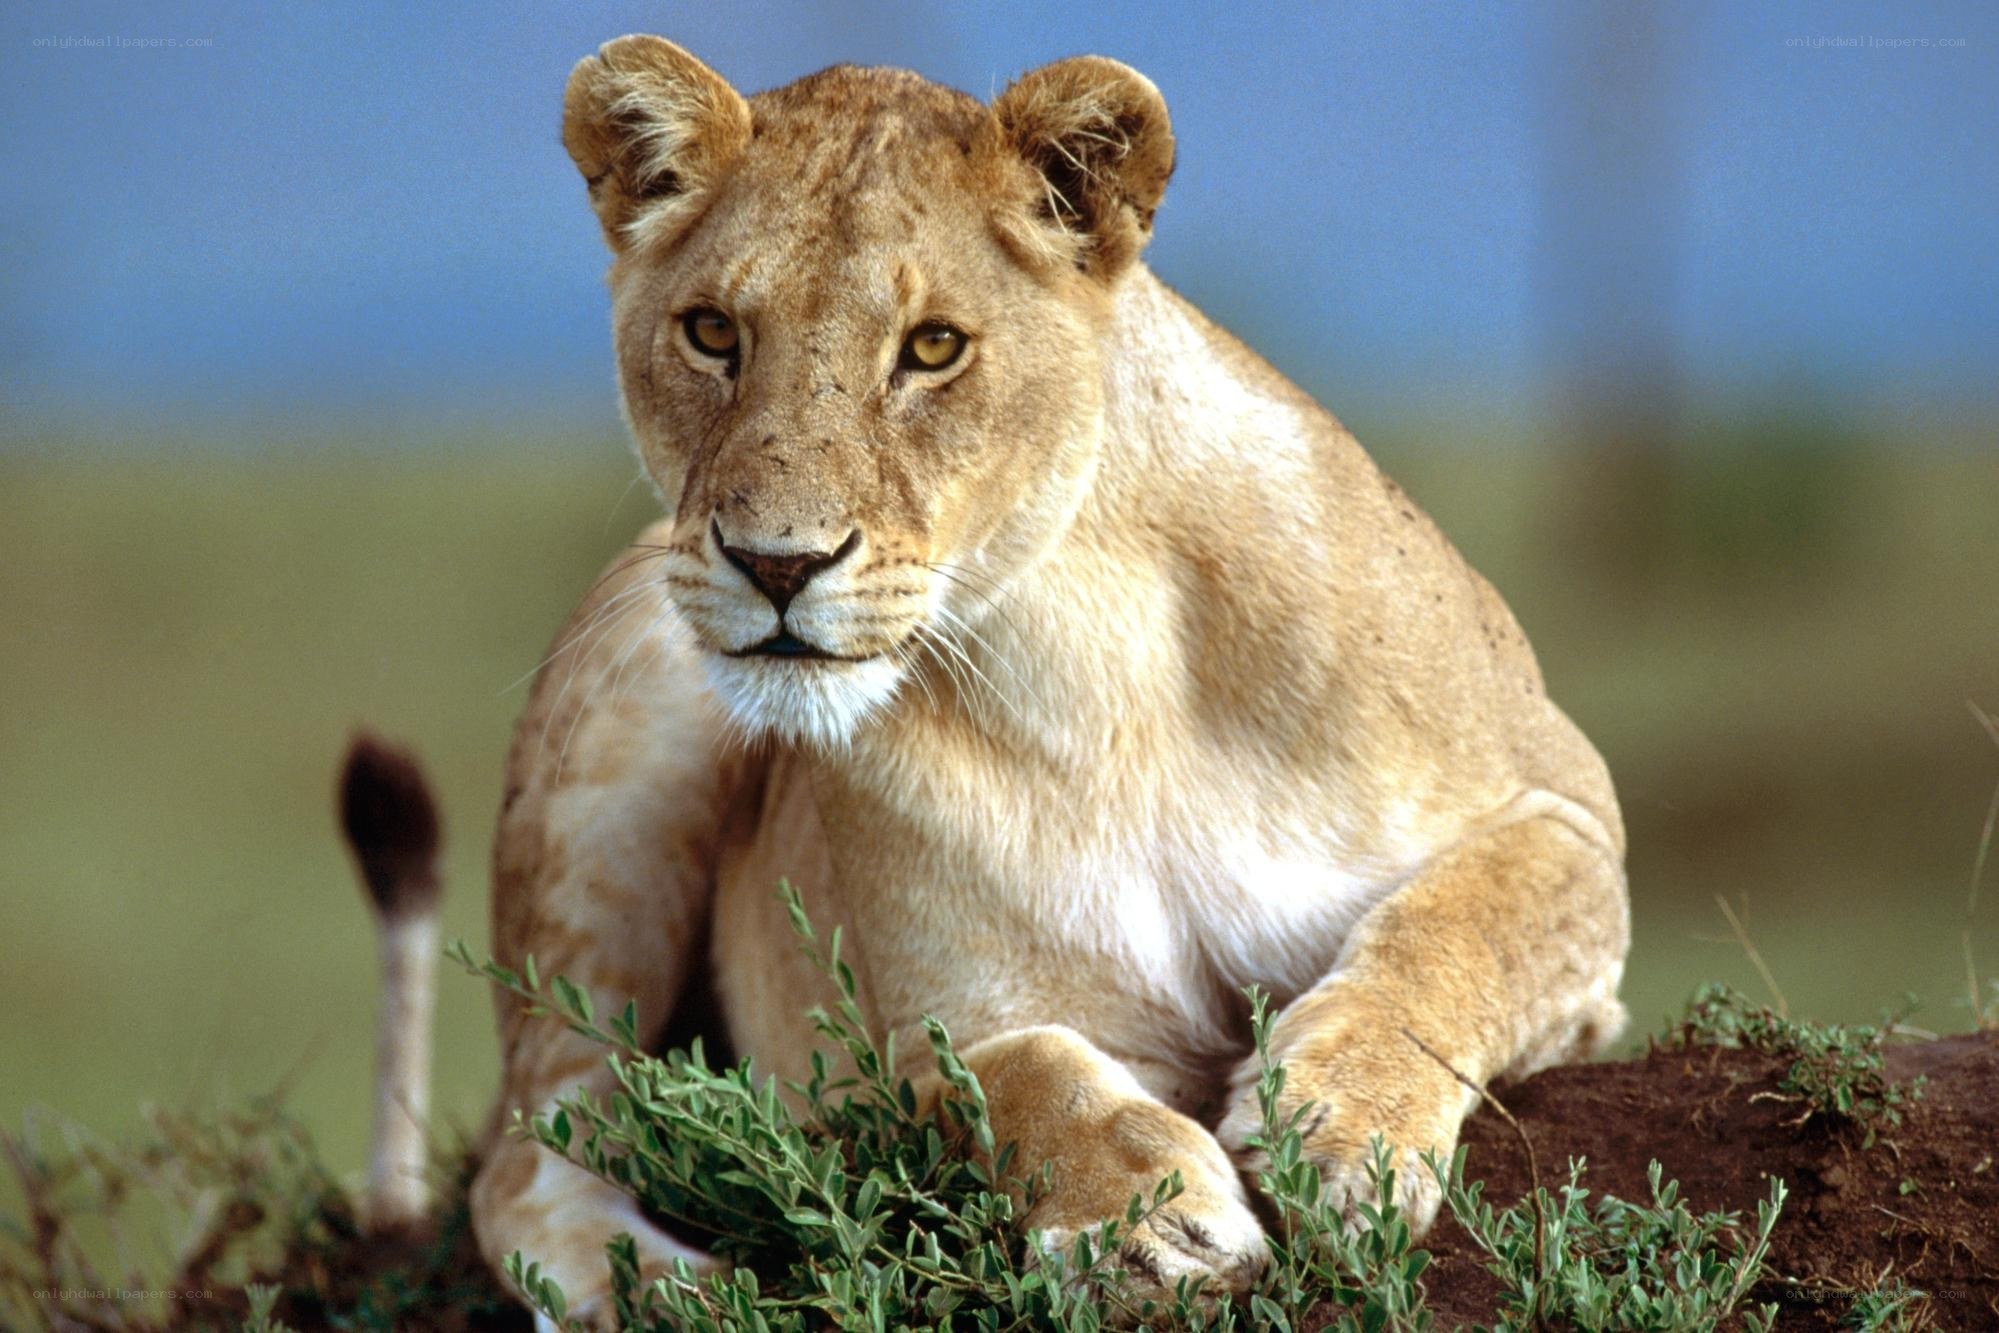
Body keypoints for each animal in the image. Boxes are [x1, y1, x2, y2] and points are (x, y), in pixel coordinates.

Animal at [450, 35, 1630, 1326]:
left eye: (932, 347)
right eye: (712, 332)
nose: (777, 563)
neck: (1095, 655)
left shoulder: (1568, 809)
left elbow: (1462, 927)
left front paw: (1340, 1125)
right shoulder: (937, 1021)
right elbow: (1005, 1075)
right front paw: (1146, 1220)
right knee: (525, 1158)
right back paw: (690, 1292)